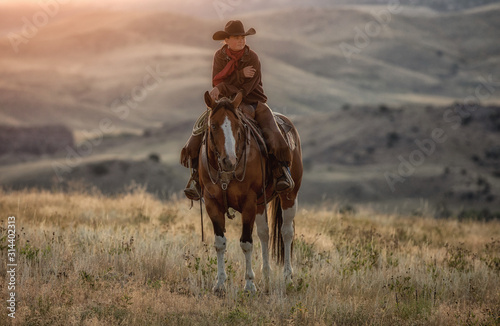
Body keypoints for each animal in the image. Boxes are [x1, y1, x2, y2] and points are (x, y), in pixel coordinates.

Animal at [198, 91, 300, 292]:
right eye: (213, 125)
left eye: (238, 126)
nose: (229, 161)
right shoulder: (212, 203)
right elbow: (220, 243)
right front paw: (219, 283)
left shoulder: (248, 204)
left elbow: (246, 243)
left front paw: (249, 285)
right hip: (261, 204)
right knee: (264, 233)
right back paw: (266, 275)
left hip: (289, 196)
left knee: (286, 232)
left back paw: (288, 278)